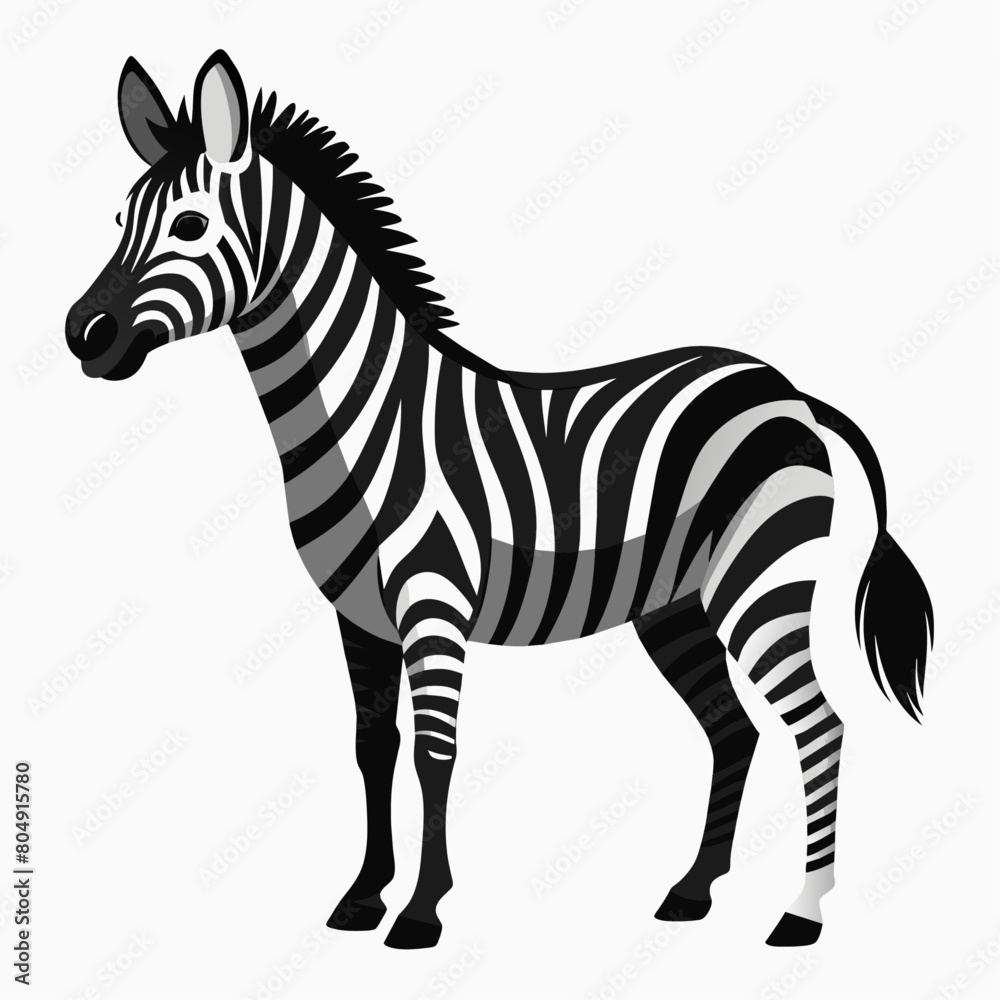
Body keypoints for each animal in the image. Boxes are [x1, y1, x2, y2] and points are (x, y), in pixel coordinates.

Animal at [65, 51, 933, 951]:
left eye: (190, 226)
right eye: (120, 217)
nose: (82, 335)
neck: (361, 415)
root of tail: (790, 390)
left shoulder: (432, 603)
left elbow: (435, 754)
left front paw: (419, 911)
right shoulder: (358, 615)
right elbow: (372, 748)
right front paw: (362, 897)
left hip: (762, 582)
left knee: (817, 724)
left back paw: (800, 913)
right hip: (675, 604)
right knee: (734, 726)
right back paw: (692, 891)